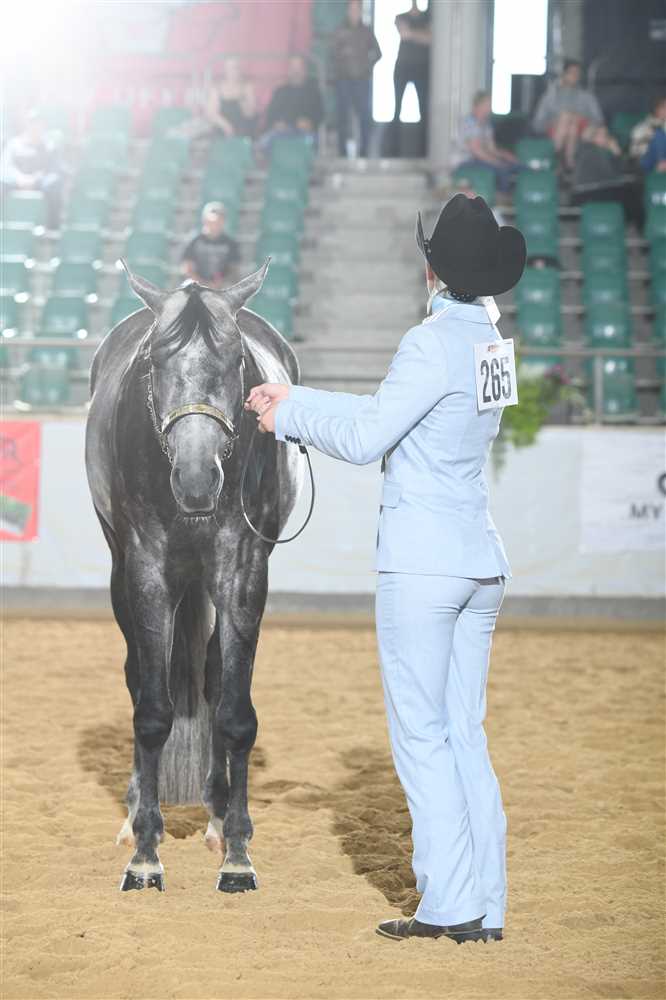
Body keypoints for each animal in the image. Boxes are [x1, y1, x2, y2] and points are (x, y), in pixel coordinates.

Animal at [85, 261, 304, 892]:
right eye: (156, 362)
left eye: (236, 363)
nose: (198, 477)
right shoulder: (148, 569)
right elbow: (153, 710)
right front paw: (144, 855)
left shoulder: (244, 570)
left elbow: (234, 713)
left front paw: (237, 854)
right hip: (124, 574)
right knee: (139, 676)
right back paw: (137, 815)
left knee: (210, 676)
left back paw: (215, 816)